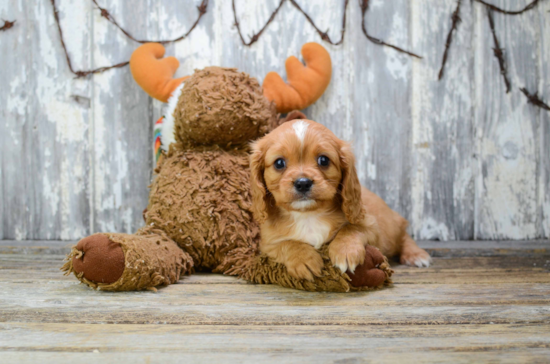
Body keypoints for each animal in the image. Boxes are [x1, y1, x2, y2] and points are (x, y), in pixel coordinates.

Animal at [252, 119, 434, 282]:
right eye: (279, 163)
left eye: (323, 160)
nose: (303, 183)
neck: (308, 215)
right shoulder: (266, 244)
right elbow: (286, 244)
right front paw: (303, 258)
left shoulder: (372, 227)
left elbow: (352, 228)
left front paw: (345, 251)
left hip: (390, 229)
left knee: (403, 234)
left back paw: (415, 254)